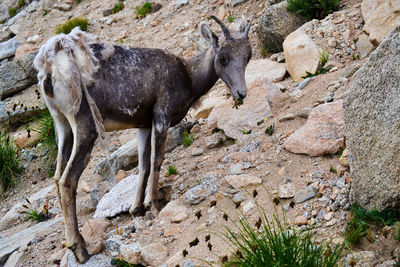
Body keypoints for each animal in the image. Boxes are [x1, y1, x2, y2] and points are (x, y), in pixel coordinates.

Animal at [33, 15, 253, 262]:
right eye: (223, 58)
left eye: (248, 55)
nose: (241, 93)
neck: (189, 75)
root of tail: (49, 68)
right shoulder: (161, 117)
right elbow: (157, 161)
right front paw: (154, 205)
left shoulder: (143, 126)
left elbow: (143, 164)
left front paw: (136, 208)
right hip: (85, 128)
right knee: (67, 181)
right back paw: (80, 250)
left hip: (62, 127)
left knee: (57, 177)